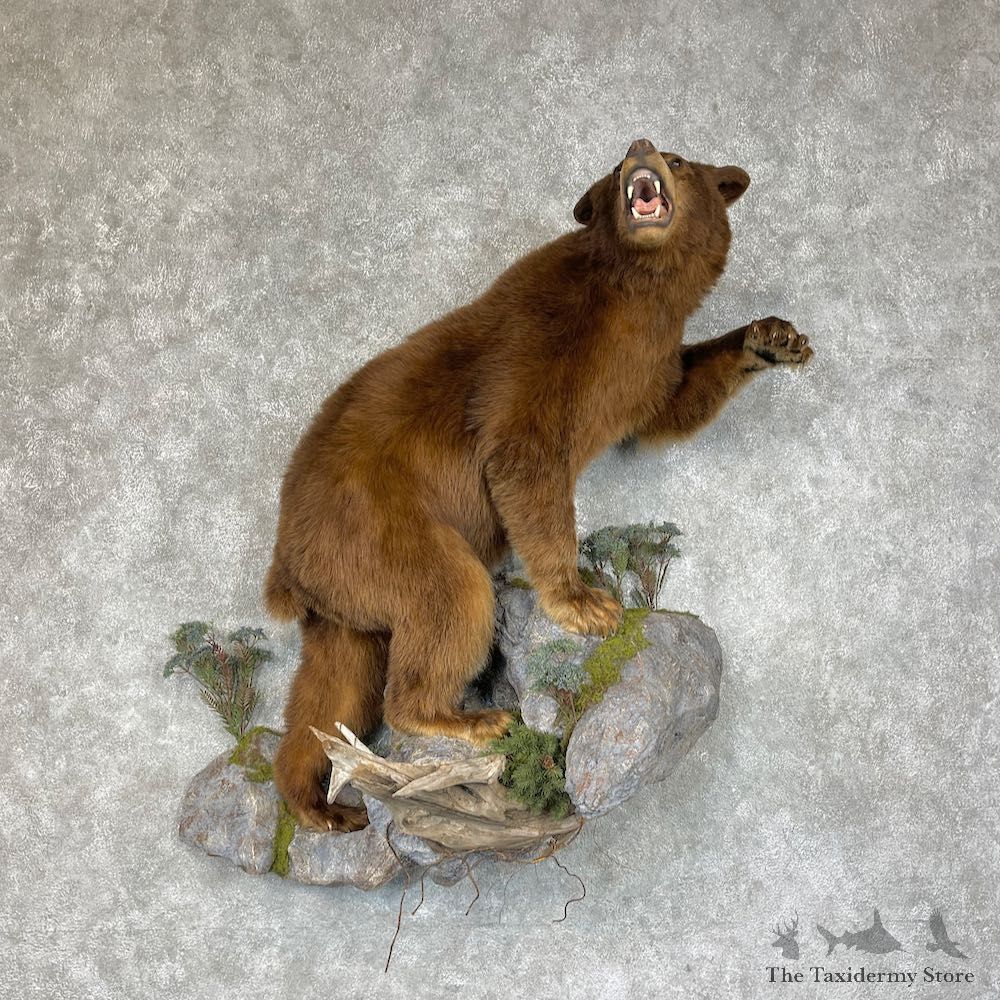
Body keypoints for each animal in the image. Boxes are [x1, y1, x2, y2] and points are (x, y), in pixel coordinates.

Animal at [264, 137, 813, 831]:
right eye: (616, 169)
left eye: (680, 161)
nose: (639, 148)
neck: (638, 289)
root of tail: (288, 567)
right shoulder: (543, 341)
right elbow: (524, 458)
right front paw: (584, 603)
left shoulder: (648, 363)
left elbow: (670, 409)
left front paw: (772, 339)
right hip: (379, 528)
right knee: (451, 598)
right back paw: (463, 718)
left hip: (345, 595)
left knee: (333, 684)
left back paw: (315, 801)